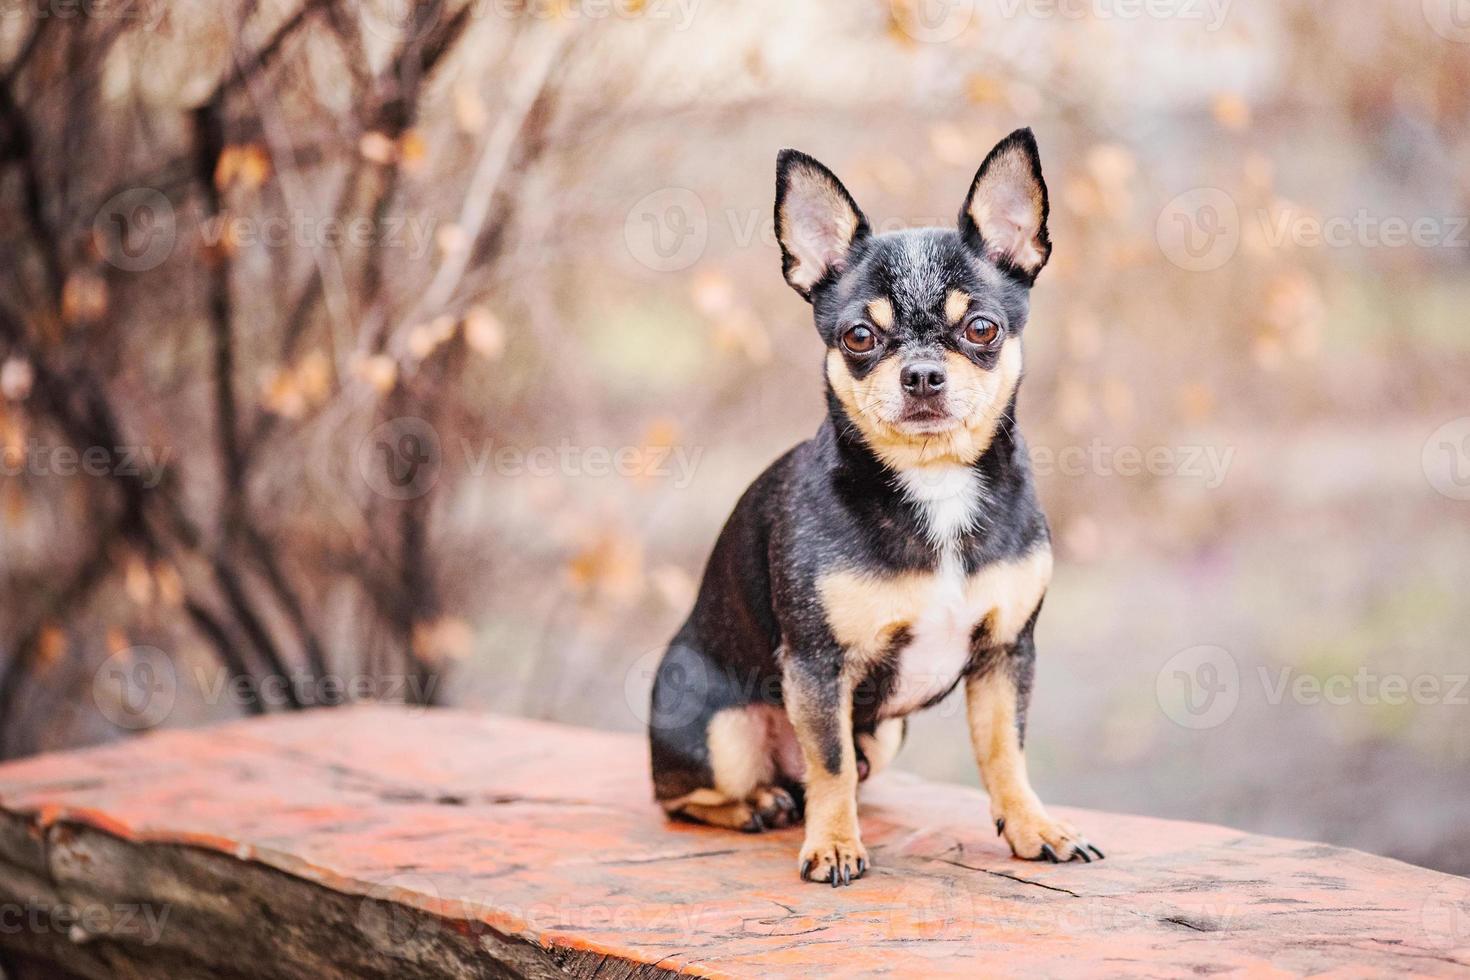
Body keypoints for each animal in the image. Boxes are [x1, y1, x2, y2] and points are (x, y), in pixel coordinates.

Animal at [646, 126, 1105, 887]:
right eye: (860, 337)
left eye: (982, 329)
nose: (921, 373)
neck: (933, 483)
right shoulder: (816, 666)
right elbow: (829, 761)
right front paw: (833, 844)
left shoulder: (1005, 657)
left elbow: (1004, 751)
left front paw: (1034, 828)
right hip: (720, 730)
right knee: (691, 795)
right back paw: (758, 805)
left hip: (887, 732)